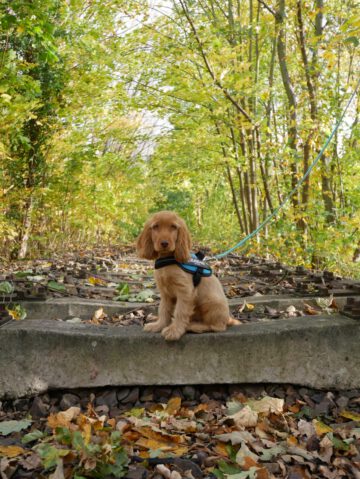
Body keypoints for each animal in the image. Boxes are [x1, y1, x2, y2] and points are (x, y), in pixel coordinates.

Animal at [136, 211, 238, 342]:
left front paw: (174, 331)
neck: (168, 260)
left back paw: (193, 326)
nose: (164, 243)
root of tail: (228, 318)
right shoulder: (166, 294)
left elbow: (180, 312)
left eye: (173, 227)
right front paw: (158, 325)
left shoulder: (185, 292)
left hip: (210, 302)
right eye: (156, 227)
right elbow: (163, 310)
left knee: (217, 326)